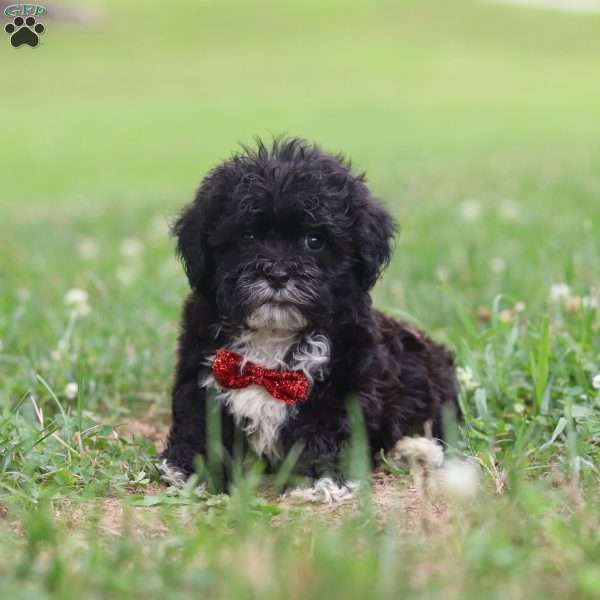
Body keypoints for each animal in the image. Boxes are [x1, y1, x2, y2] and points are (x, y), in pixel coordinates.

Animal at [157, 138, 458, 500]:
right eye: (247, 237)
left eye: (314, 241)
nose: (277, 274)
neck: (272, 337)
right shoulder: (201, 371)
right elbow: (200, 419)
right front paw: (194, 470)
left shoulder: (344, 382)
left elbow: (325, 427)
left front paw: (318, 478)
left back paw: (416, 448)